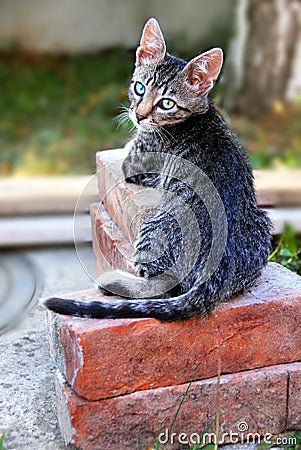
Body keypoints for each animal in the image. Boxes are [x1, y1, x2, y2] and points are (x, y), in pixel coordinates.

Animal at [45, 17, 272, 320]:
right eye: (139, 88)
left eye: (166, 103)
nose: (139, 115)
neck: (199, 113)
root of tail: (215, 275)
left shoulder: (135, 160)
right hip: (262, 223)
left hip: (155, 228)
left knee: (162, 287)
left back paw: (115, 283)